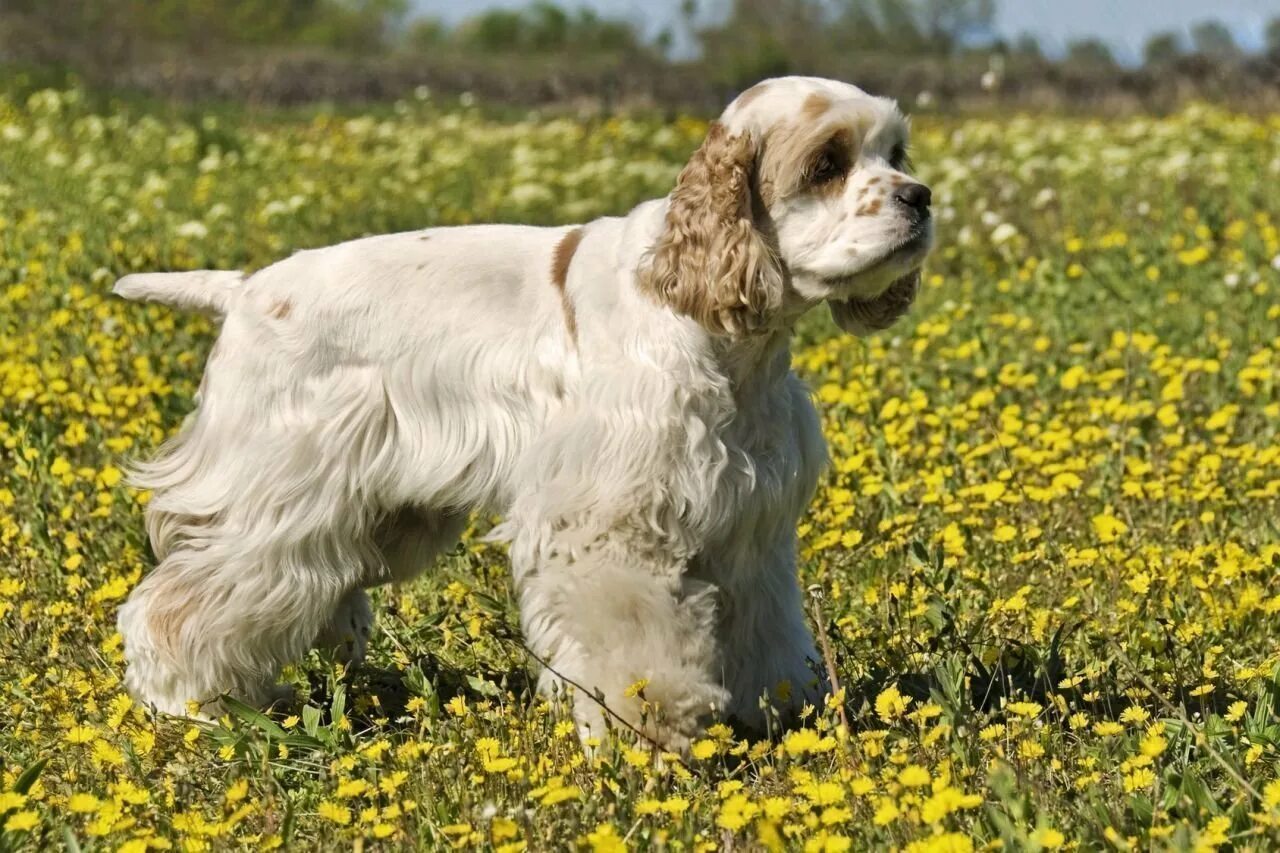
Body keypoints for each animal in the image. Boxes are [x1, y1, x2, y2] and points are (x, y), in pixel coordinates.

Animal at [112, 76, 931, 747]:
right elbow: (636, 640)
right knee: (179, 602)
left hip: (369, 519)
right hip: (279, 504)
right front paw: (652, 728)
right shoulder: (611, 521)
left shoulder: (749, 524)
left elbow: (767, 628)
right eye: (827, 163)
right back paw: (188, 706)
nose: (919, 196)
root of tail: (245, 289)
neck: (716, 321)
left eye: (896, 151)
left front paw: (780, 713)